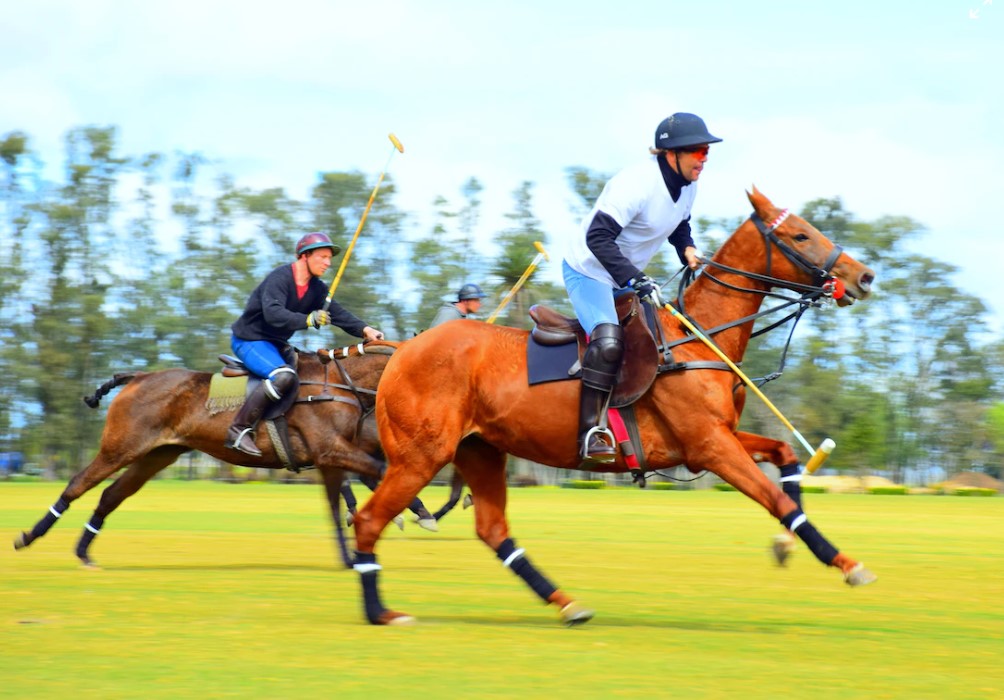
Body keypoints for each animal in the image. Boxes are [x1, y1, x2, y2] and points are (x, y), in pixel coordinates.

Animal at [13, 343, 399, 566]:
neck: (337, 386)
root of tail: (139, 376)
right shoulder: (331, 451)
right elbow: (376, 477)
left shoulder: (331, 459)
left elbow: (339, 506)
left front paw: (353, 554)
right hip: (119, 447)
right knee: (78, 484)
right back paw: (29, 537)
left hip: (157, 455)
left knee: (111, 494)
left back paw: (83, 551)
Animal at [351, 188, 879, 626]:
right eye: (800, 234)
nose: (864, 276)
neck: (695, 339)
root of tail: (402, 349)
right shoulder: (709, 446)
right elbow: (777, 499)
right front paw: (850, 565)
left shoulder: (714, 437)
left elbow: (786, 457)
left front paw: (785, 547)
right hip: (421, 454)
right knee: (370, 519)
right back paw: (381, 612)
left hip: (480, 451)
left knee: (492, 528)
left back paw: (567, 604)